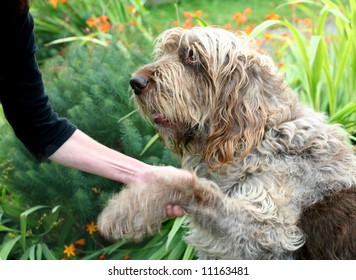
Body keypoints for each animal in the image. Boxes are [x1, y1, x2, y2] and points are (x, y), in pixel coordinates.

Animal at [97, 27, 356, 260]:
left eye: (192, 56)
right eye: (164, 52)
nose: (135, 82)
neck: (260, 136)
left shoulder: (264, 231)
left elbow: (189, 186)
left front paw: (127, 208)